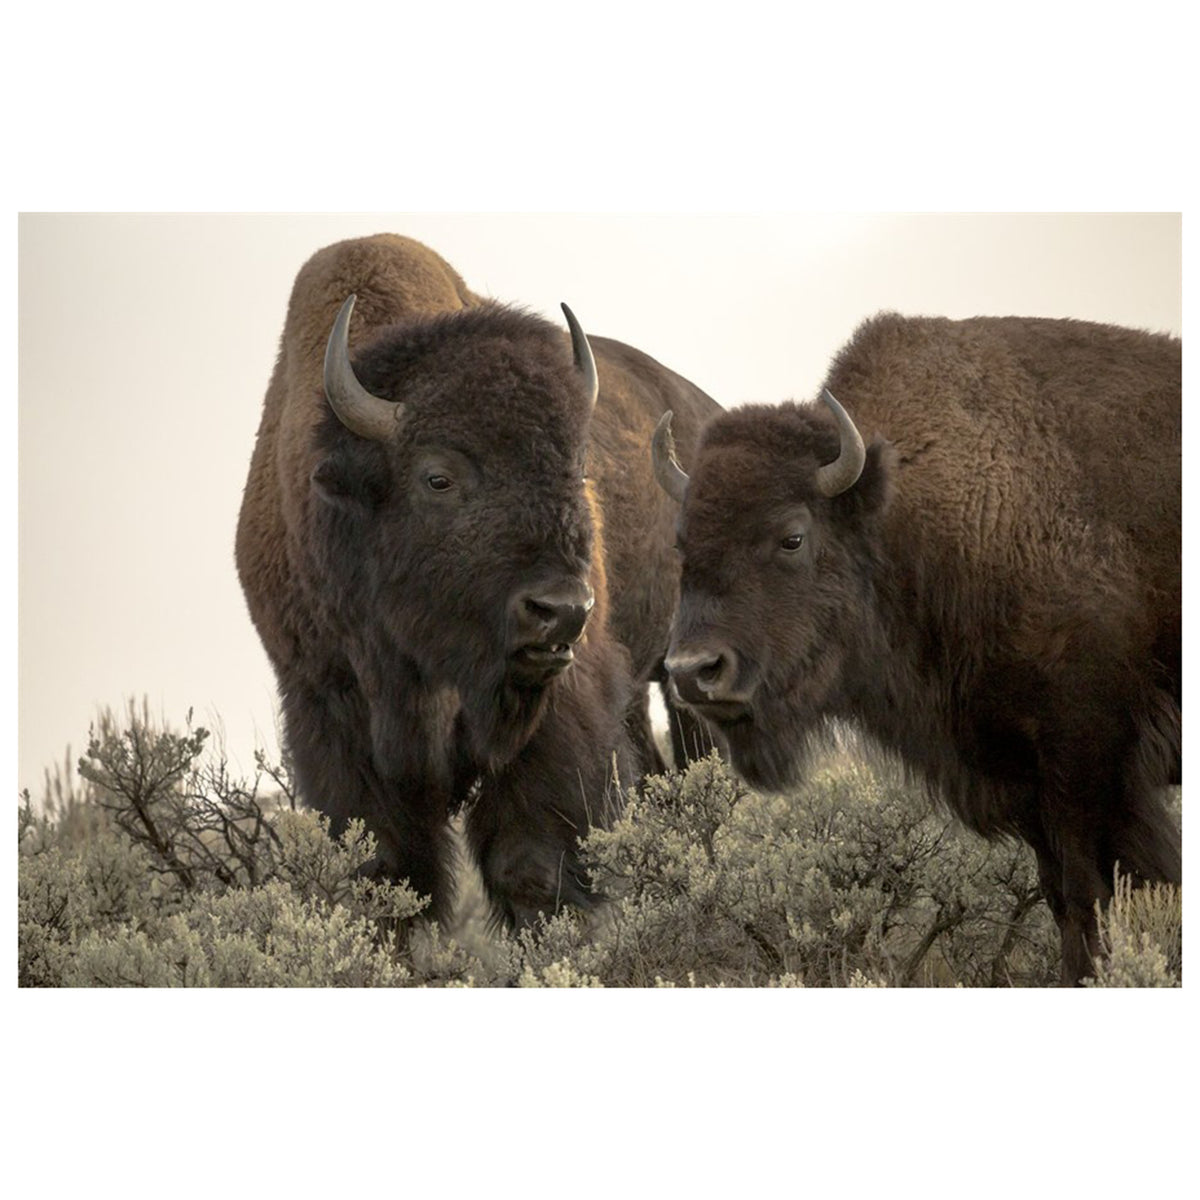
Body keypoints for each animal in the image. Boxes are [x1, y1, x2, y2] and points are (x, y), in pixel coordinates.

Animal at [236, 234, 718, 928]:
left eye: (578, 469)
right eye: (438, 477)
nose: (562, 609)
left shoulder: (558, 704)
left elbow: (531, 865)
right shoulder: (328, 709)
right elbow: (391, 880)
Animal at [654, 312, 1181, 984]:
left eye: (792, 536)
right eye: (681, 543)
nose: (693, 672)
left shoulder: (1088, 764)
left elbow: (1094, 899)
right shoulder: (1023, 776)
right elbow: (1066, 902)